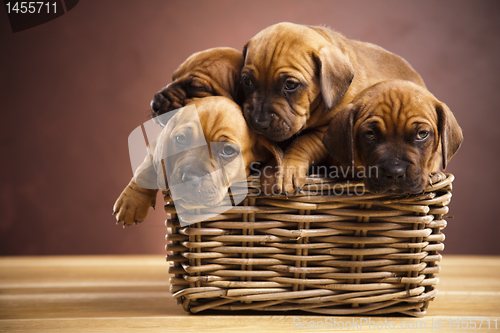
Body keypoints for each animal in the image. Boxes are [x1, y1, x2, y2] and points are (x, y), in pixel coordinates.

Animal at [114, 96, 284, 226]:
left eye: (228, 151)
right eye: (180, 139)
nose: (189, 179)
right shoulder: (155, 146)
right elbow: (146, 168)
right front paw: (132, 202)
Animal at [242, 22, 426, 192]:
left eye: (291, 85)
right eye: (246, 81)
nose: (258, 123)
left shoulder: (328, 133)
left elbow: (302, 142)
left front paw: (287, 168)